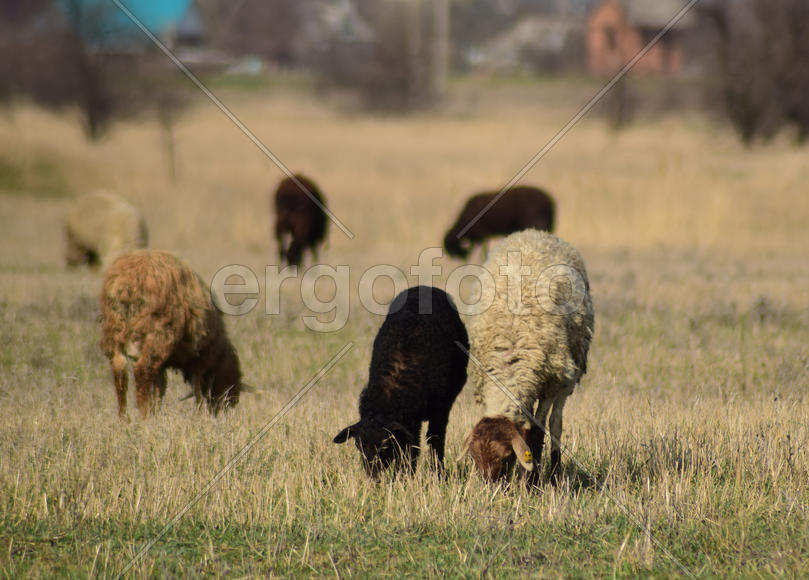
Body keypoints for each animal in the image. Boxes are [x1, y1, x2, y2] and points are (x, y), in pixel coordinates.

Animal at [100, 250, 244, 419]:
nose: (228, 407)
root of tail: (127, 284)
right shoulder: (200, 359)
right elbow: (196, 388)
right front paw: (200, 414)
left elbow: (159, 387)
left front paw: (156, 412)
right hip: (159, 335)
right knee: (142, 370)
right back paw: (144, 417)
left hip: (114, 333)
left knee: (120, 373)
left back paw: (124, 418)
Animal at [334, 286, 469, 479]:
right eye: (358, 446)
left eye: (384, 445)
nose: (373, 478)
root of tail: (425, 287)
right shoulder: (408, 421)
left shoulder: (438, 409)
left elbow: (428, 442)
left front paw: (427, 475)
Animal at [462, 229, 594, 484]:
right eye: (474, 457)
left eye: (505, 458)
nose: (489, 487)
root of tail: (535, 233)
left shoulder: (550, 384)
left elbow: (537, 430)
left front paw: (531, 481)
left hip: (566, 379)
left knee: (555, 423)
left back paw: (554, 472)